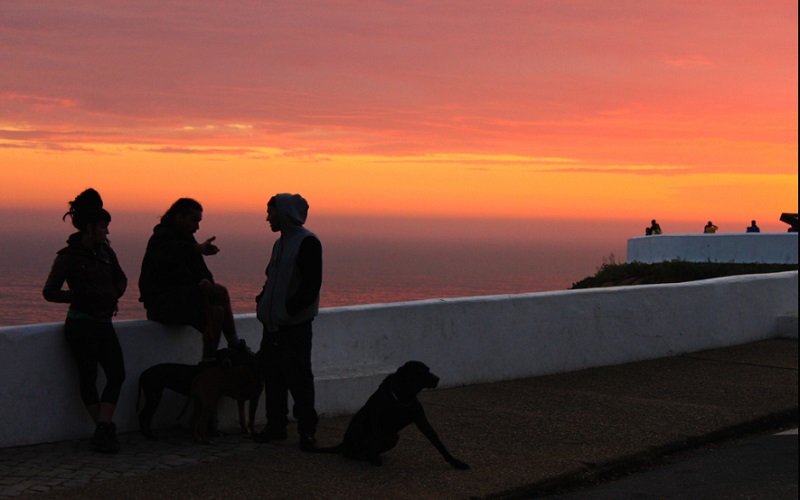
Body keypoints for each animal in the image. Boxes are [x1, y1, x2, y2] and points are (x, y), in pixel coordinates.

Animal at [306, 360, 468, 468]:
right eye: (419, 371)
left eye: (428, 369)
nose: (437, 379)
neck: (403, 397)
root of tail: (343, 443)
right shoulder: (377, 421)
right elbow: (375, 439)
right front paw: (375, 461)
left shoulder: (423, 422)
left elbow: (438, 443)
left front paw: (455, 462)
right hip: (359, 432)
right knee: (350, 452)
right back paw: (364, 456)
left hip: (392, 437)